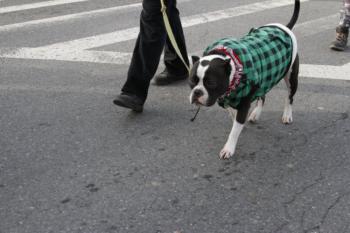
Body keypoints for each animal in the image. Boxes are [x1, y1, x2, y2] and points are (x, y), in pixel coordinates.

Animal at [189, 0, 300, 159]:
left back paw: (287, 115)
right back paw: (256, 113)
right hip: (264, 78)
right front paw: (237, 124)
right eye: (192, 81)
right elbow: (233, 116)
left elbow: (235, 129)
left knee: (290, 96)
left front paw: (229, 147)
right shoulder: (228, 99)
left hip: (291, 77)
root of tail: (284, 27)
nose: (197, 92)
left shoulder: (243, 103)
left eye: (211, 83)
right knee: (262, 95)